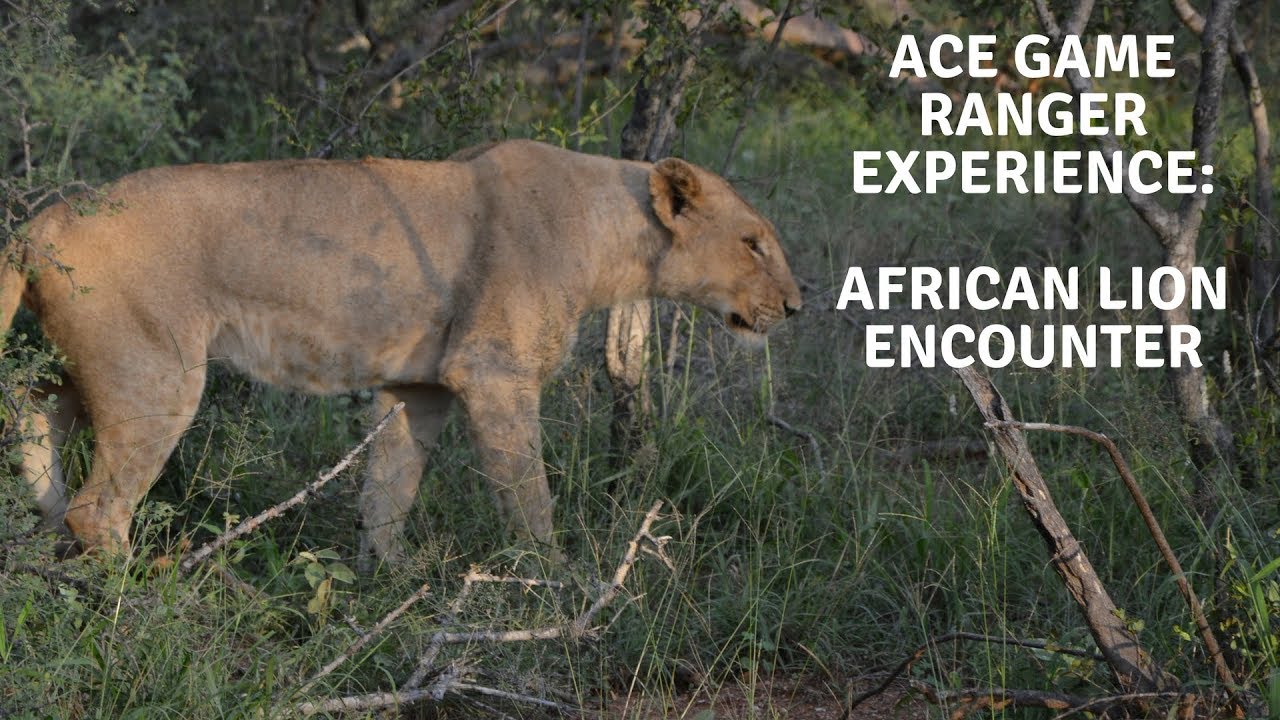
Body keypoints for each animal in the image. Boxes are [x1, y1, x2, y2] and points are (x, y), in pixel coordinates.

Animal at [0, 140, 802, 565]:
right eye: (753, 242)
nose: (796, 306)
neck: (610, 237)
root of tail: (39, 224)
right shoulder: (492, 372)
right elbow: (528, 497)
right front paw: (554, 588)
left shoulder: (421, 388)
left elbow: (389, 493)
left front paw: (382, 585)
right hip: (155, 373)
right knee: (101, 510)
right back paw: (147, 592)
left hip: (93, 363)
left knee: (28, 403)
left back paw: (43, 510)